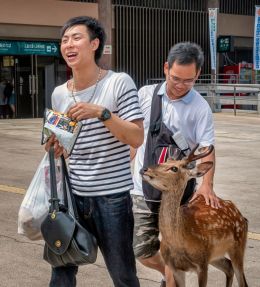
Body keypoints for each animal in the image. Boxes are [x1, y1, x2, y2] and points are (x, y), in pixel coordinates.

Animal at [141, 146, 249, 287]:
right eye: (164, 161)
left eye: (174, 168)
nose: (145, 169)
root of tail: (242, 217)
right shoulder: (175, 267)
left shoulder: (201, 264)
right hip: (215, 255)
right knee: (228, 267)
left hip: (238, 245)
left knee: (241, 279)